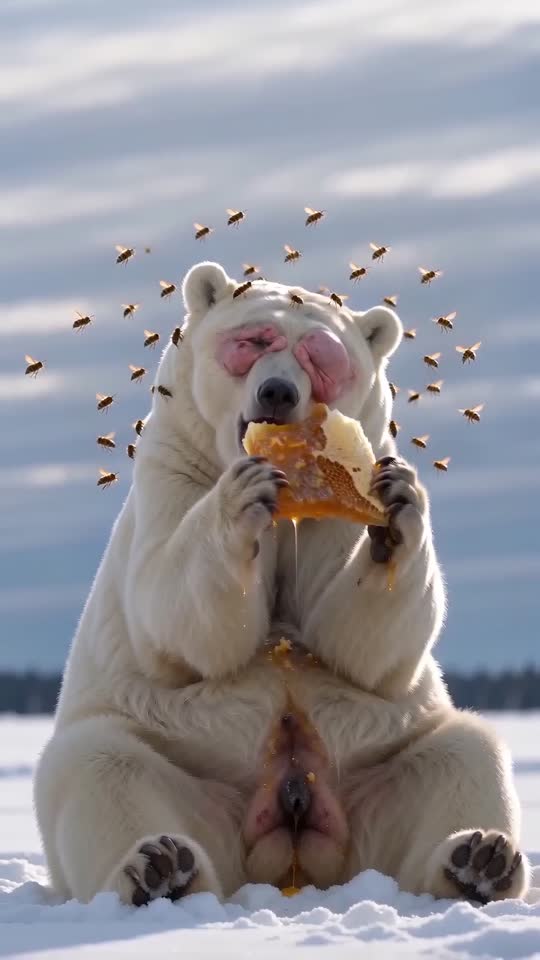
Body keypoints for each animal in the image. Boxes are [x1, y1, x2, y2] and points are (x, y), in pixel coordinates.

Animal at [33, 261, 529, 907]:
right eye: (252, 341)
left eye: (322, 358)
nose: (278, 392)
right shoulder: (174, 476)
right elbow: (171, 617)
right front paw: (241, 499)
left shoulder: (335, 507)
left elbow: (358, 643)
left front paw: (397, 510)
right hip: (188, 762)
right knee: (99, 765)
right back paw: (159, 868)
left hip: (373, 764)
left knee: (464, 752)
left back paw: (479, 860)